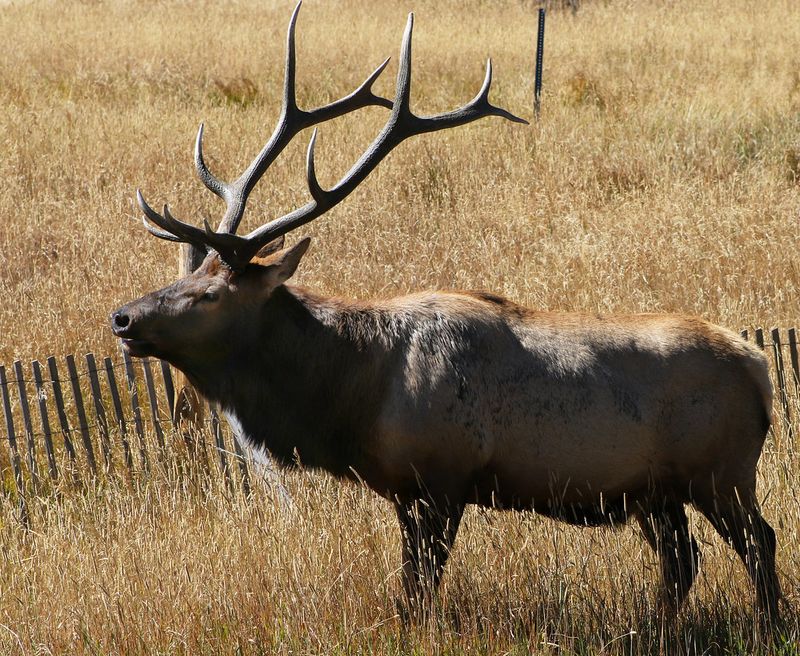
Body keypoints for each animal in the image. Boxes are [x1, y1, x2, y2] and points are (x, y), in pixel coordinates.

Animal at [111, 3, 782, 622]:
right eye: (186, 275)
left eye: (210, 294)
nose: (122, 318)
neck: (356, 393)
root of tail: (760, 369)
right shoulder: (404, 491)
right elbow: (411, 584)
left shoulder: (442, 476)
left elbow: (420, 590)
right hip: (655, 491)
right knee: (682, 561)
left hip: (721, 470)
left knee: (759, 542)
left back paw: (769, 626)